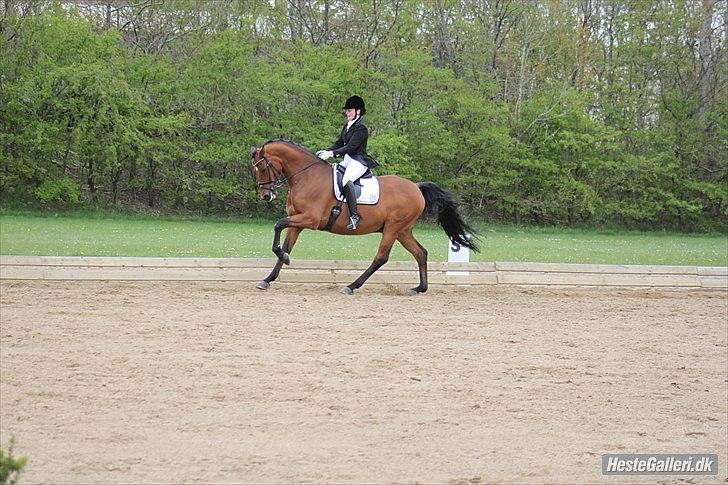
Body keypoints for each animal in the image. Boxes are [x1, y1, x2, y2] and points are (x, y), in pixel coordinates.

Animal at [250, 138, 478, 294]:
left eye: (262, 167)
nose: (265, 195)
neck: (306, 177)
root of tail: (416, 187)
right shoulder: (297, 221)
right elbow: (286, 245)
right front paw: (269, 277)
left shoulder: (310, 219)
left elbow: (278, 225)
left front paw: (282, 259)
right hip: (403, 231)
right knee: (420, 253)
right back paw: (419, 288)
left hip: (393, 228)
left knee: (381, 257)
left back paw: (351, 286)